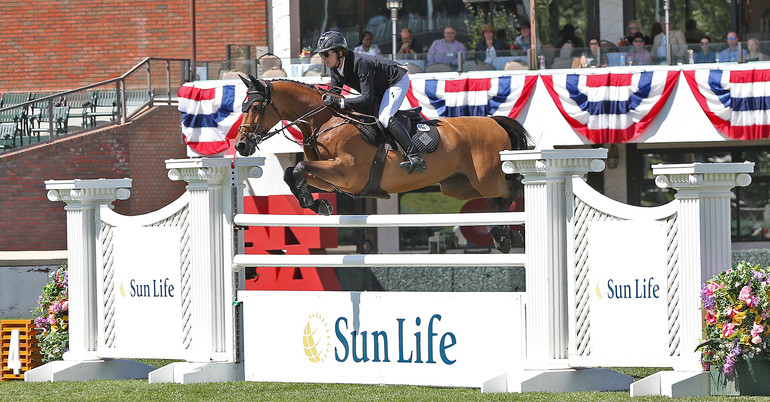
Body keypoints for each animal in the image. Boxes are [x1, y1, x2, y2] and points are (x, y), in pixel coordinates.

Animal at [234, 74, 528, 253]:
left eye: (256, 107)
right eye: (242, 106)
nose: (240, 145)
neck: (325, 121)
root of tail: (494, 121)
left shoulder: (346, 172)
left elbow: (298, 168)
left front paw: (313, 202)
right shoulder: (331, 179)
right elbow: (291, 173)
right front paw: (317, 204)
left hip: (485, 177)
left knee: (512, 187)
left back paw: (506, 232)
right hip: (459, 186)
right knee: (498, 197)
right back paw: (502, 234)